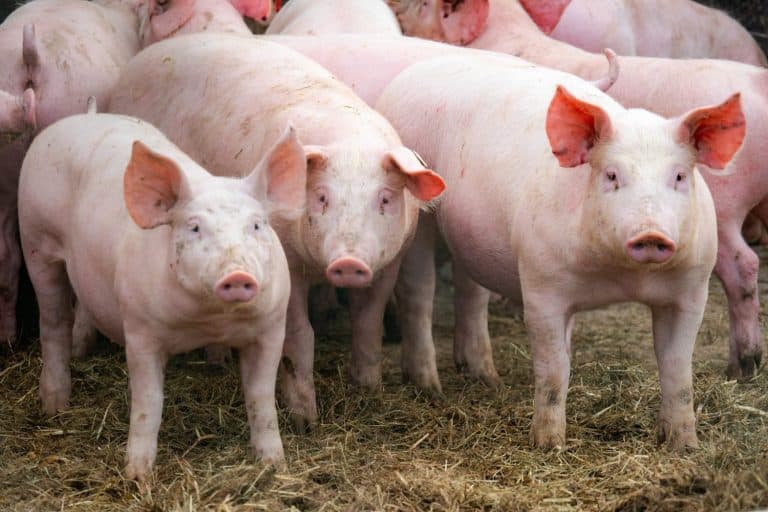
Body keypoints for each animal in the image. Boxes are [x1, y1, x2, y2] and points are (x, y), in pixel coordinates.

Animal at [18, 111, 306, 480]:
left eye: (256, 225)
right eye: (194, 227)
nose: (237, 275)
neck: (210, 321)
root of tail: (87, 115)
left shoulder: (270, 329)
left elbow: (261, 397)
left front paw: (274, 465)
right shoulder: (141, 331)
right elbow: (149, 401)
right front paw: (137, 475)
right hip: (36, 241)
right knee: (53, 324)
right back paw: (54, 408)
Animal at [109, 33, 445, 430]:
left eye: (386, 199)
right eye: (321, 196)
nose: (349, 262)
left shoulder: (389, 264)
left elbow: (367, 323)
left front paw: (369, 393)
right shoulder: (286, 267)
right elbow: (299, 336)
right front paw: (305, 422)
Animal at [376, 55, 745, 449]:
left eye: (678, 176)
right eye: (611, 175)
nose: (651, 233)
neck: (623, 277)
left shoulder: (691, 290)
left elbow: (677, 368)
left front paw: (684, 446)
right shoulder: (541, 285)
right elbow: (553, 369)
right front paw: (549, 445)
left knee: (471, 293)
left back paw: (488, 379)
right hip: (419, 217)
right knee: (419, 293)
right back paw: (431, 388)